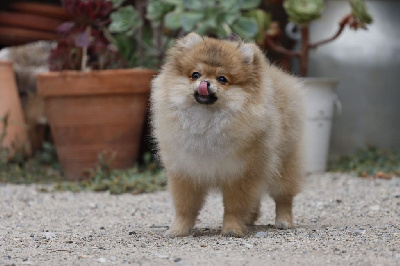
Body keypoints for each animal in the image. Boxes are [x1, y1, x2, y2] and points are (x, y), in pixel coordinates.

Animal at [152, 32, 304, 238]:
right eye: (195, 74)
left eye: (222, 79)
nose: (204, 83)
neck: (206, 121)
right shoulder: (185, 172)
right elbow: (185, 207)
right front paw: (178, 230)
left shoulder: (240, 173)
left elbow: (234, 207)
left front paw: (232, 229)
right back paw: (249, 219)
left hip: (284, 165)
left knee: (283, 197)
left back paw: (283, 221)